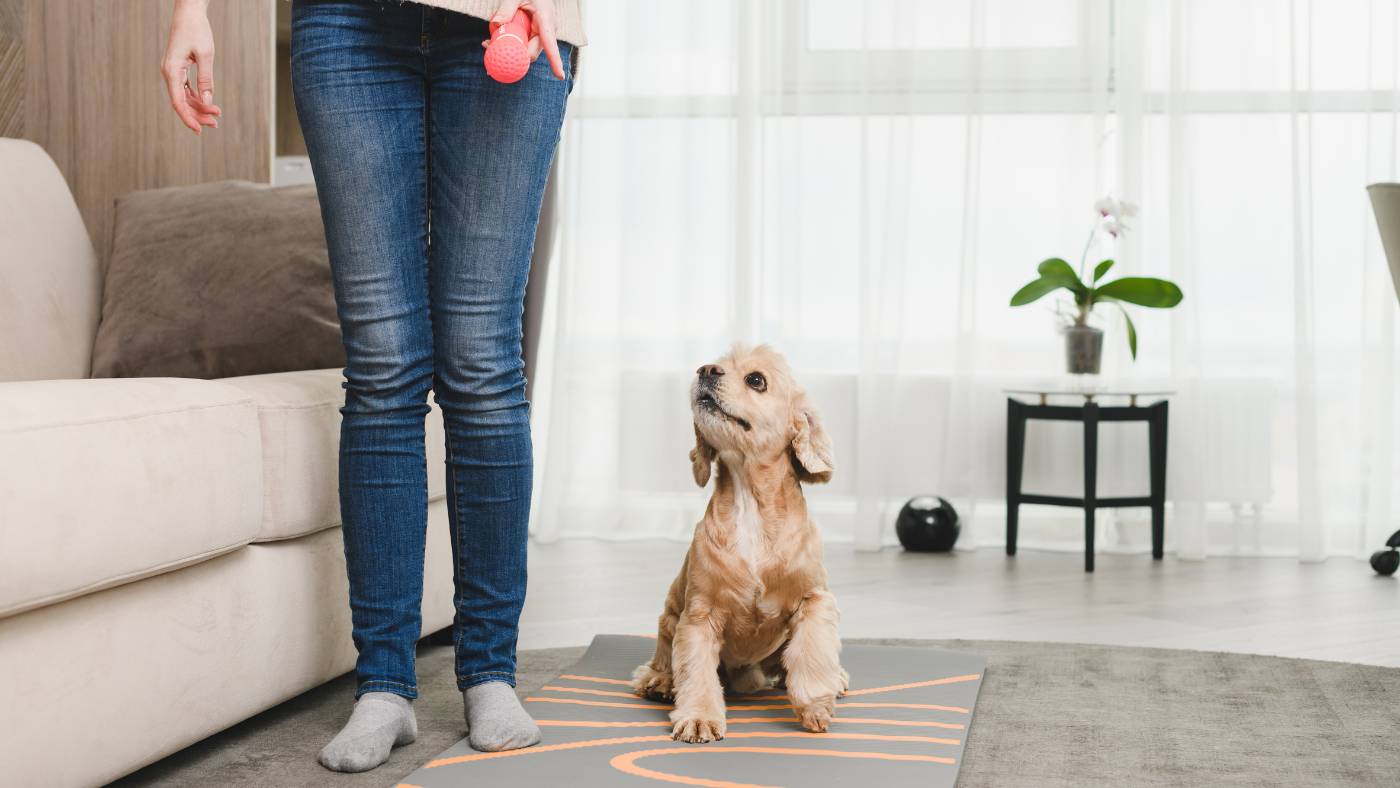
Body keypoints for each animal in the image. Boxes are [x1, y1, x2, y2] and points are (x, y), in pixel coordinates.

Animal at [632, 342, 845, 744]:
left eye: (756, 380)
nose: (705, 370)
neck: (751, 503)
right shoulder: (699, 615)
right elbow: (696, 672)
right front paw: (699, 718)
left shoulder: (814, 600)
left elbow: (812, 654)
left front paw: (815, 706)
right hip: (668, 619)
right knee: (664, 658)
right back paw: (659, 681)